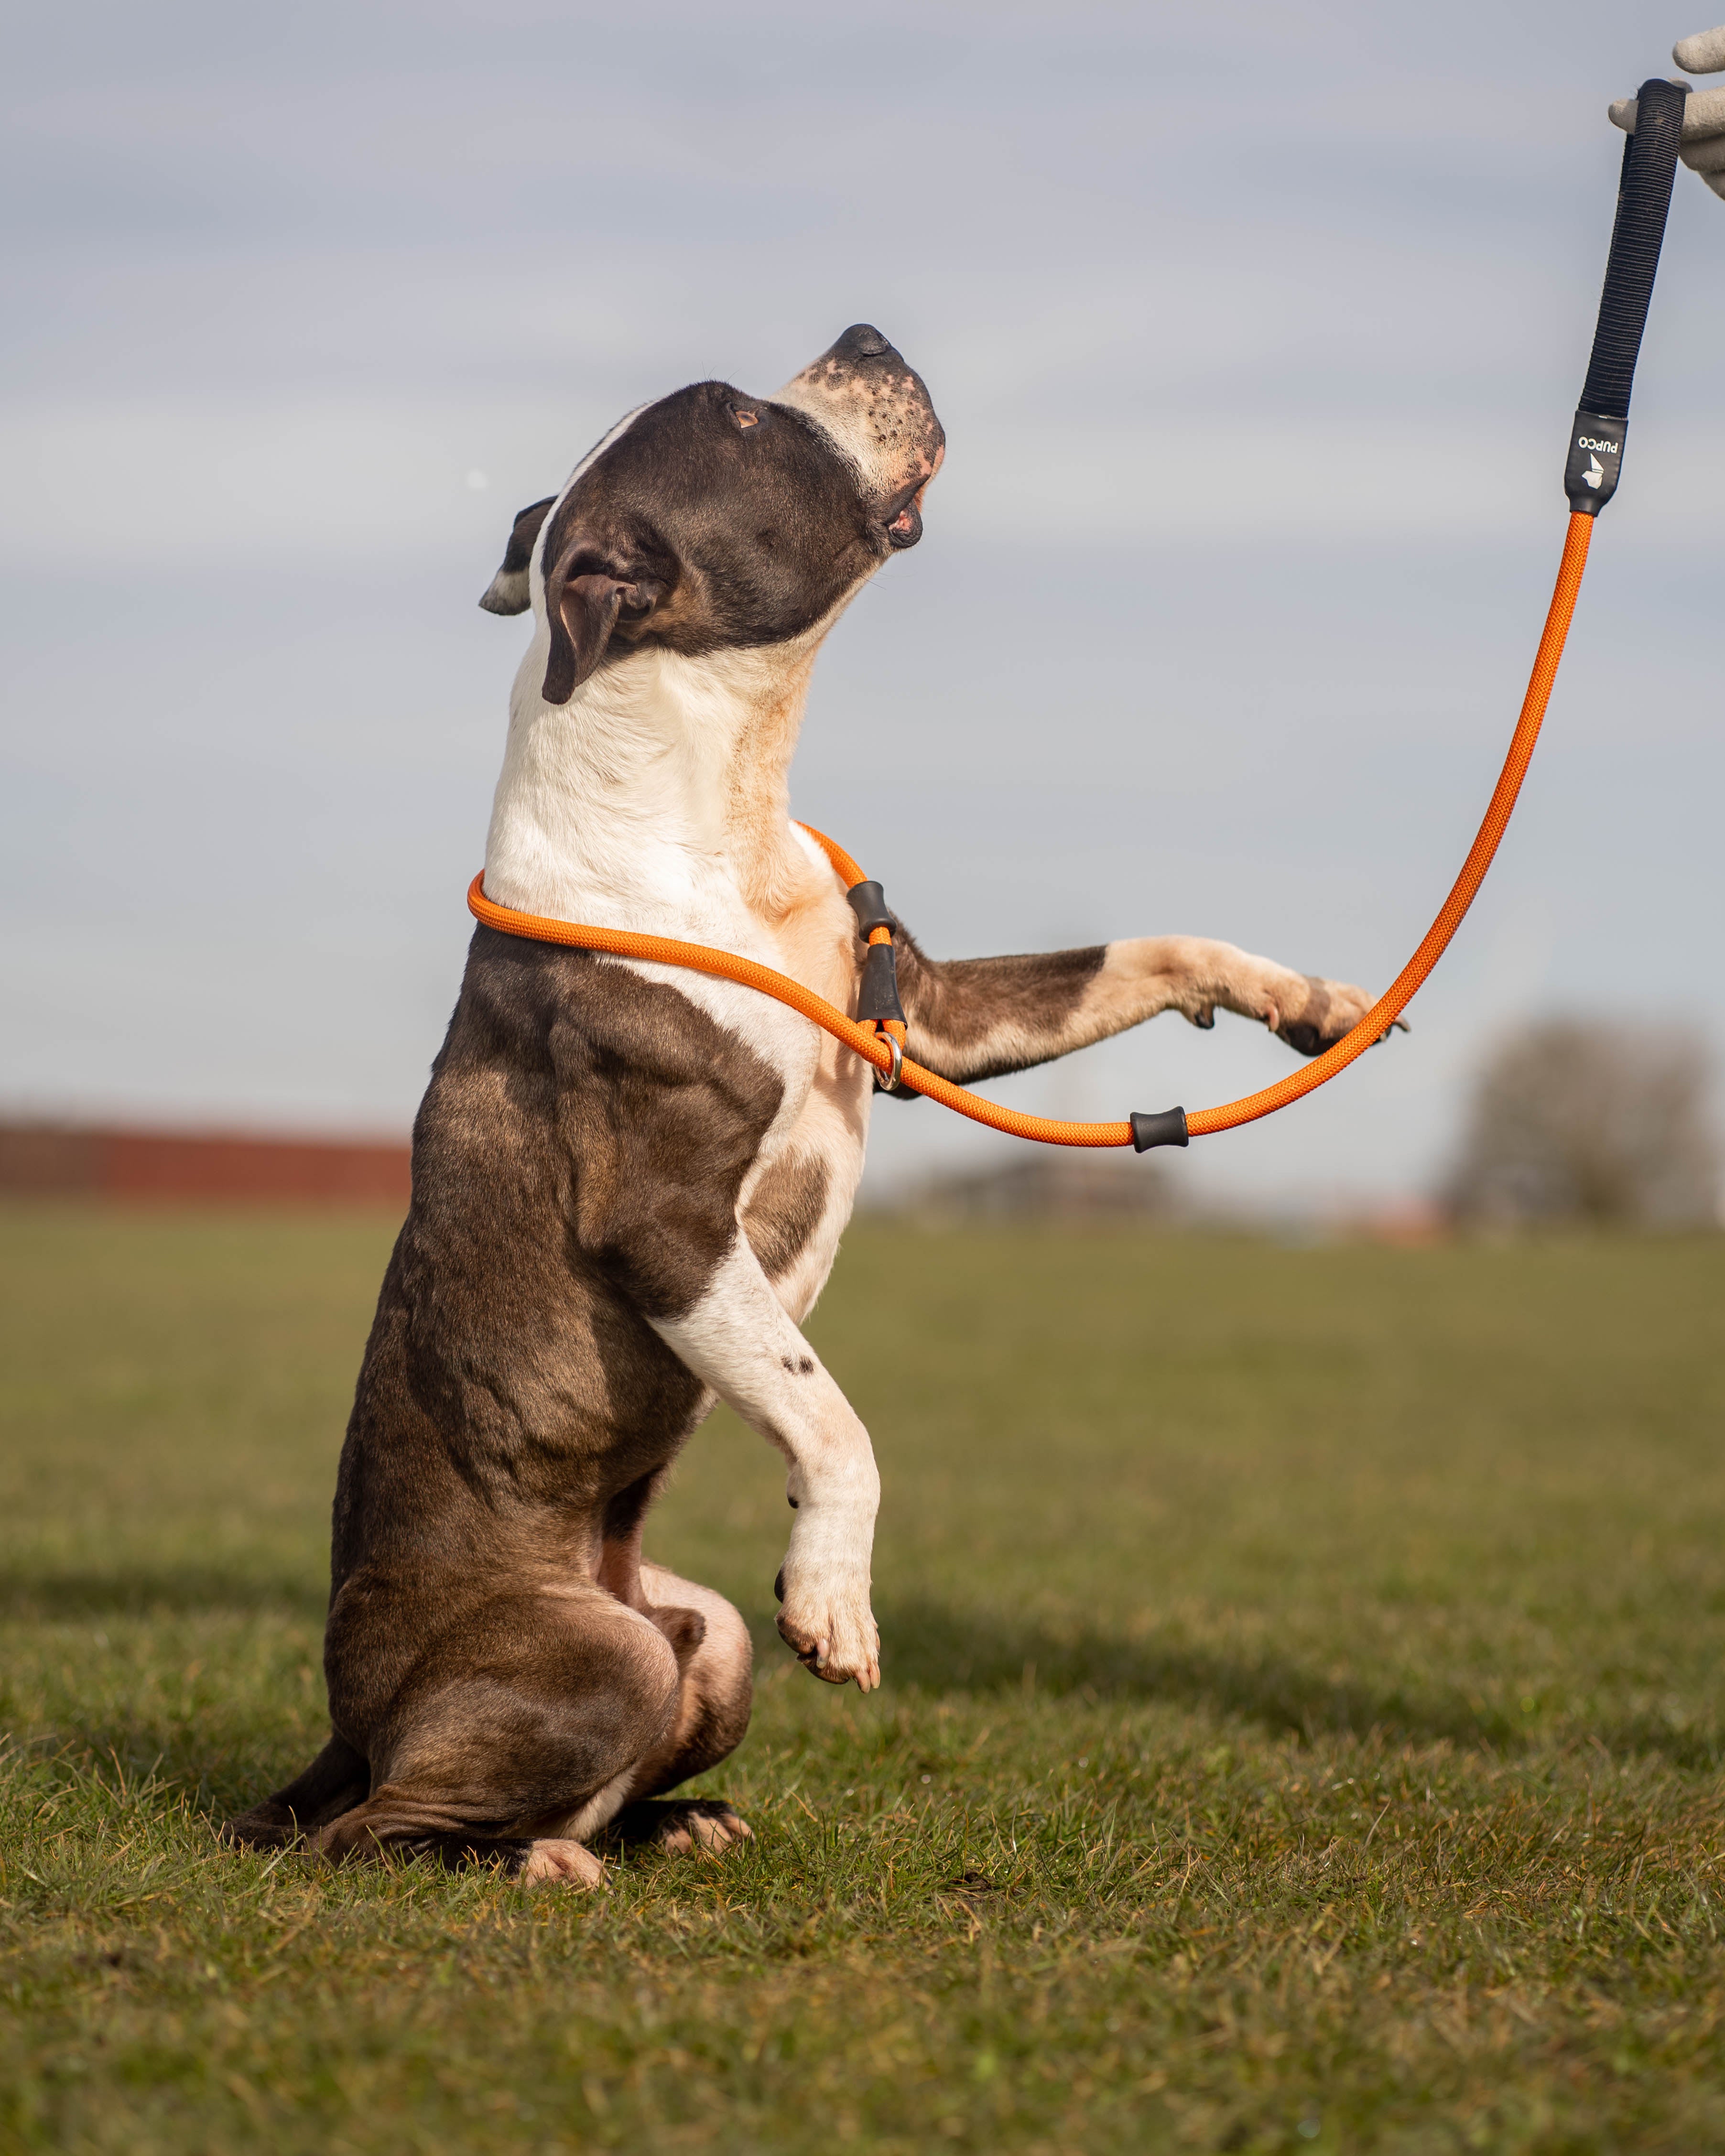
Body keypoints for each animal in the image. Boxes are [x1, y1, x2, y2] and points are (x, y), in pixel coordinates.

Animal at [228, 323, 1380, 1888]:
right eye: (736, 417)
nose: (867, 336)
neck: (717, 809)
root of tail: (348, 1723)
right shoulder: (666, 1228)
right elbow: (829, 1414)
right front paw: (836, 1596)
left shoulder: (930, 1015)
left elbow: (1141, 952)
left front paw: (1304, 998)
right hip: (588, 1661)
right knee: (367, 1833)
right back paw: (531, 1861)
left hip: (699, 1642)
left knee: (591, 1763)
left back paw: (670, 1825)